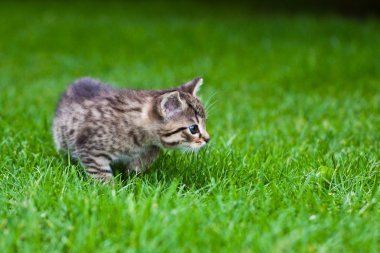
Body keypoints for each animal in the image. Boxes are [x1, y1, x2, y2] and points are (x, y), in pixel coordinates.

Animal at [52, 76, 209, 182]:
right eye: (193, 129)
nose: (208, 139)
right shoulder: (90, 147)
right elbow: (100, 172)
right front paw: (109, 190)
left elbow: (147, 157)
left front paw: (133, 174)